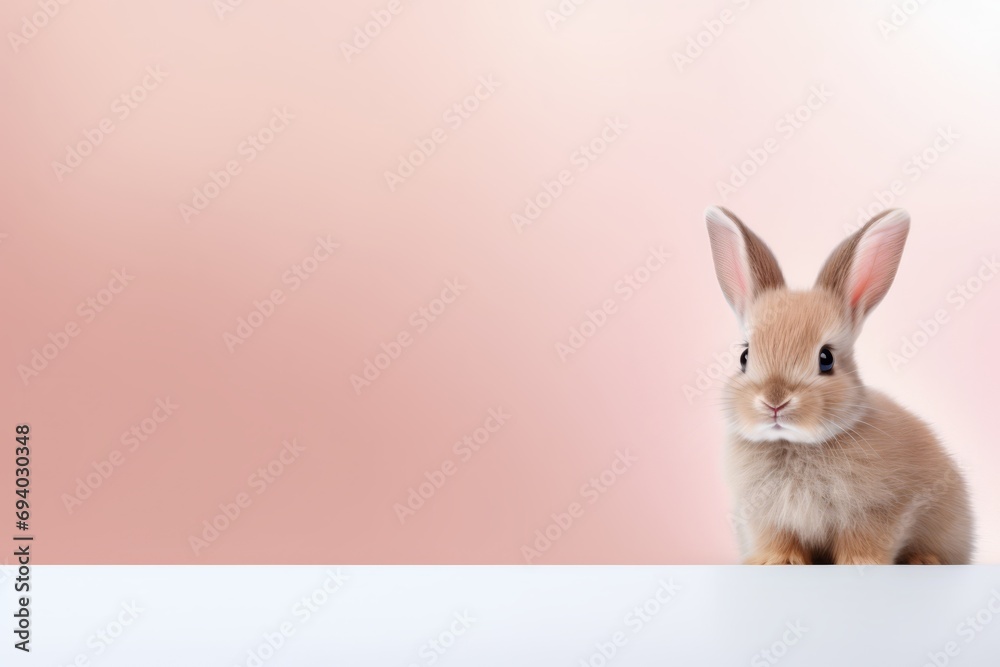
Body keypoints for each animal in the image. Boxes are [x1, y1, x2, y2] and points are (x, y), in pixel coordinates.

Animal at [705, 206, 973, 565]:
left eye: (826, 358)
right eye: (745, 356)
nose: (775, 402)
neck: (795, 444)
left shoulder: (879, 511)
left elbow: (864, 542)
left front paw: (859, 564)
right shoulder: (767, 520)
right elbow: (778, 540)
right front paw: (777, 561)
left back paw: (923, 560)